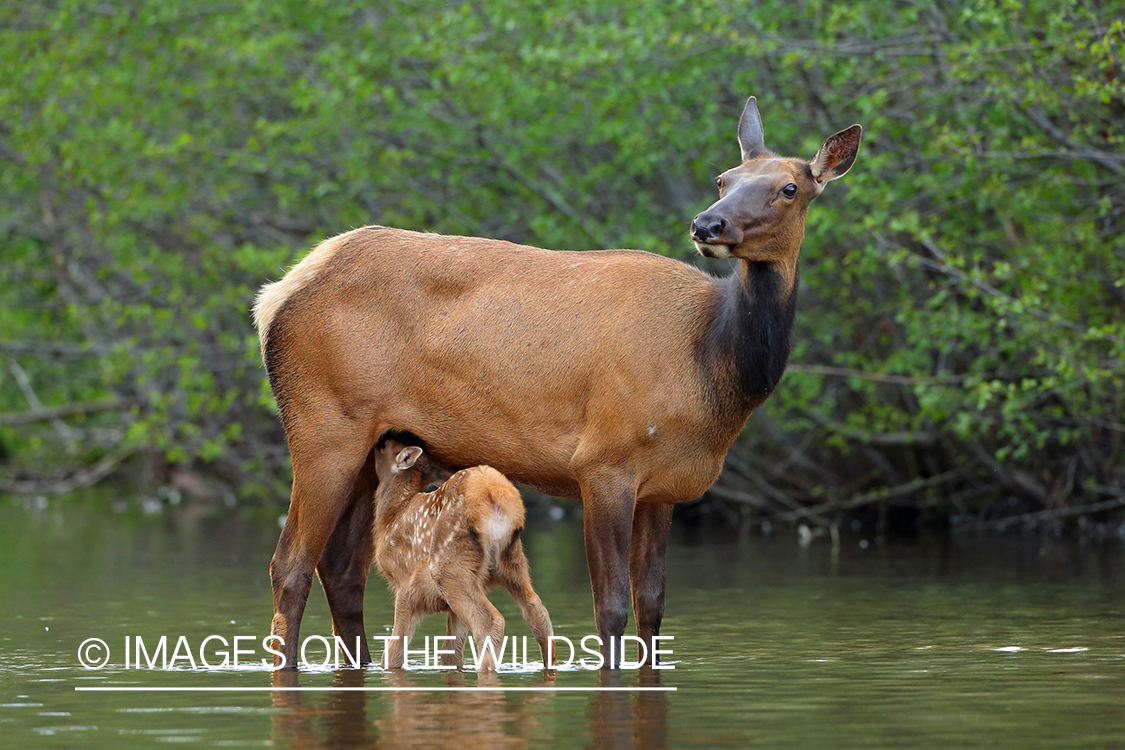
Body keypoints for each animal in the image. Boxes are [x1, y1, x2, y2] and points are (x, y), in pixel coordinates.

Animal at [375, 436, 555, 670]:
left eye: (384, 447)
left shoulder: (404, 582)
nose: (382, 438)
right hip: (510, 560)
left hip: (449, 564)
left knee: (490, 620)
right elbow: (450, 652)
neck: (392, 515)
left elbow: (393, 652)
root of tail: (491, 493)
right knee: (536, 608)